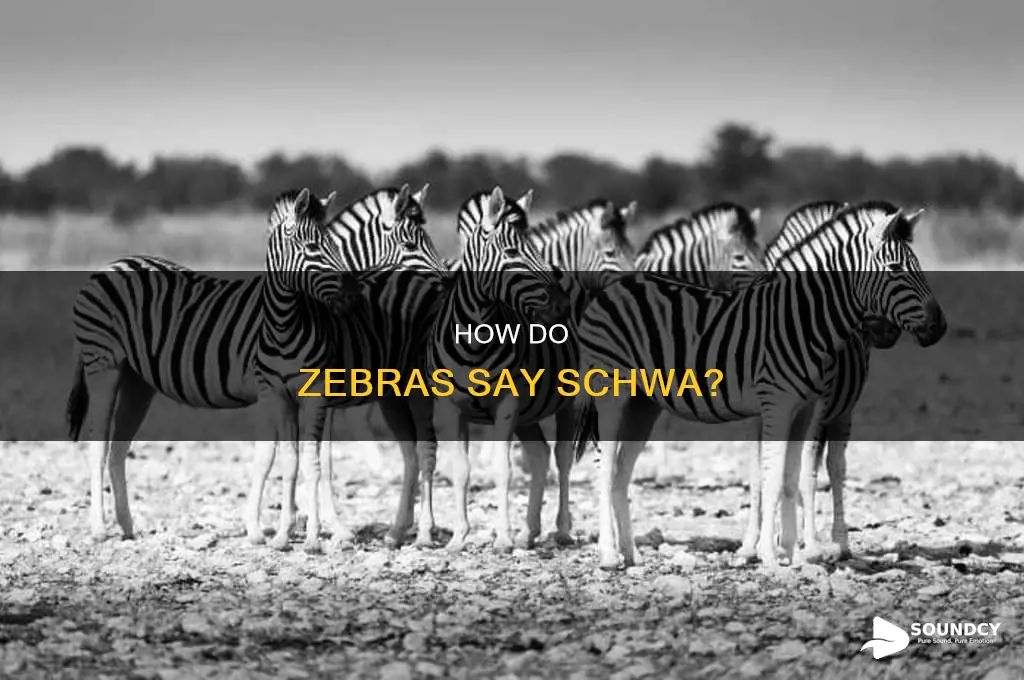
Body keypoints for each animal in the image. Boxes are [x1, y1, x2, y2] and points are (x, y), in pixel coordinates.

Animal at [66, 185, 446, 548]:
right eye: (411, 243)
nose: (446, 283)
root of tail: (114, 263)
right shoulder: (288, 391)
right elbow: (301, 460)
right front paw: (317, 528)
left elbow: (302, 457)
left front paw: (305, 525)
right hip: (105, 365)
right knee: (98, 443)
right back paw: (99, 528)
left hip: (137, 381)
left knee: (118, 449)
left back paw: (127, 526)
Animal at [424, 186, 575, 553]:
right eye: (511, 252)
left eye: (537, 250)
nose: (562, 306)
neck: (474, 337)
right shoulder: (450, 409)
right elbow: (461, 471)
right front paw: (458, 537)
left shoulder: (506, 405)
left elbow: (502, 470)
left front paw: (503, 538)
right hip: (529, 413)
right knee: (540, 455)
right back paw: (529, 533)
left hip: (571, 400)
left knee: (563, 458)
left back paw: (561, 531)